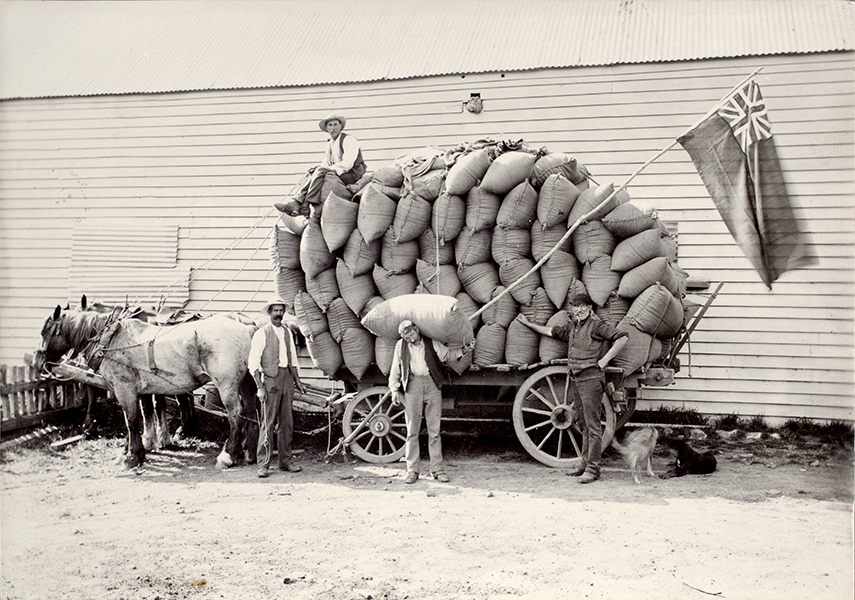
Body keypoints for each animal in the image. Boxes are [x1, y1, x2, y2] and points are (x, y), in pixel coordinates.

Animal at [36, 304, 256, 468]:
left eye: (44, 331)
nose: (38, 362)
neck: (111, 339)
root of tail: (245, 326)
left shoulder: (124, 388)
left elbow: (132, 420)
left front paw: (133, 456)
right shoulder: (138, 390)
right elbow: (143, 414)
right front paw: (134, 448)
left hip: (226, 384)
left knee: (235, 414)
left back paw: (228, 455)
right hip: (245, 382)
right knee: (251, 411)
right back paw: (249, 452)